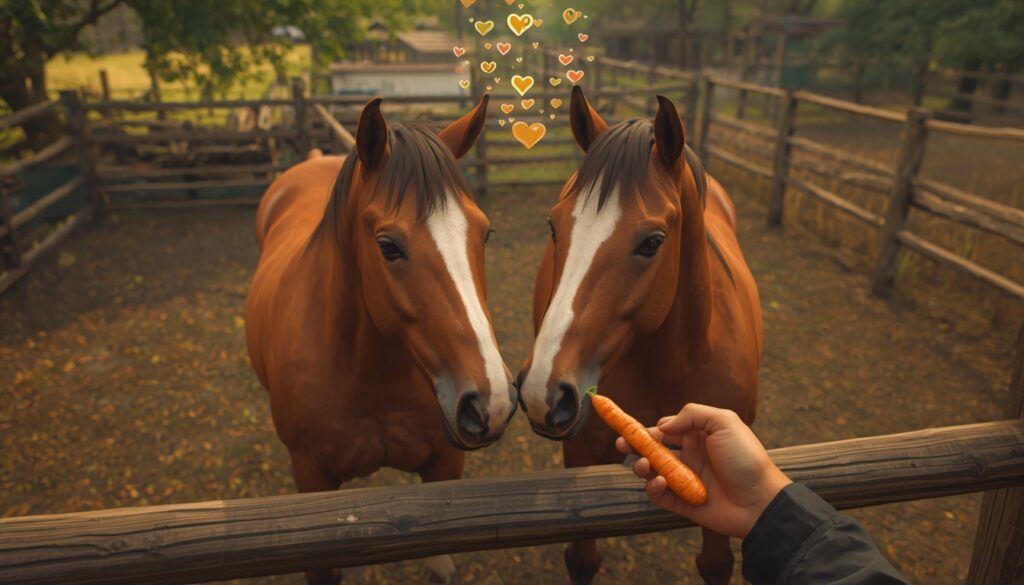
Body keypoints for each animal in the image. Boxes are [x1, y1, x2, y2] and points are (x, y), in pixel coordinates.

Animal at [516, 86, 763, 585]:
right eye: (554, 226)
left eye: (652, 242)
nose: (542, 393)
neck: (675, 363)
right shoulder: (582, 450)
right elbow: (583, 559)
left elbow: (715, 562)